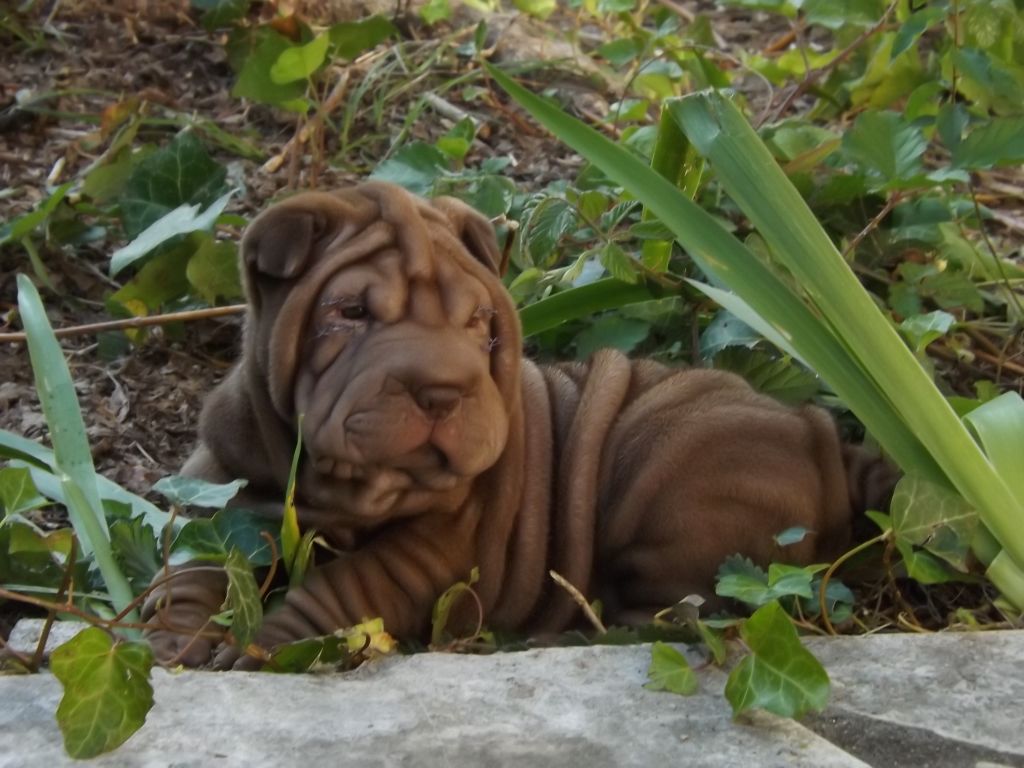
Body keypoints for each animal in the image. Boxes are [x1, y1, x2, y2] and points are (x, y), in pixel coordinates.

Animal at [144, 180, 897, 667]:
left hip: (680, 484)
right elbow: (197, 559)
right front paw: (177, 637)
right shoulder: (222, 480)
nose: (442, 389)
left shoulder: (437, 544)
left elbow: (346, 588)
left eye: (480, 322)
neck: (339, 488)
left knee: (674, 616)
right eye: (350, 313)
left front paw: (269, 646)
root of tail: (823, 437)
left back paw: (562, 638)